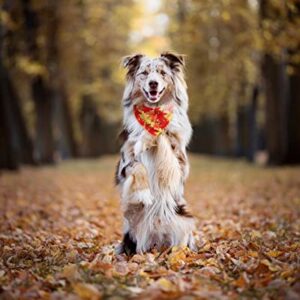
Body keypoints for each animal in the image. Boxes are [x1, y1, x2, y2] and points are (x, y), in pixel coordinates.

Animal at [114, 52, 195, 255]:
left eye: (162, 73)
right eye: (144, 73)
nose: (153, 83)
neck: (153, 109)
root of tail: (158, 242)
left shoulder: (180, 164)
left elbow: (163, 140)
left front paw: (151, 136)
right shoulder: (123, 167)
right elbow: (137, 166)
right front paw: (142, 193)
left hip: (183, 219)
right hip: (132, 228)